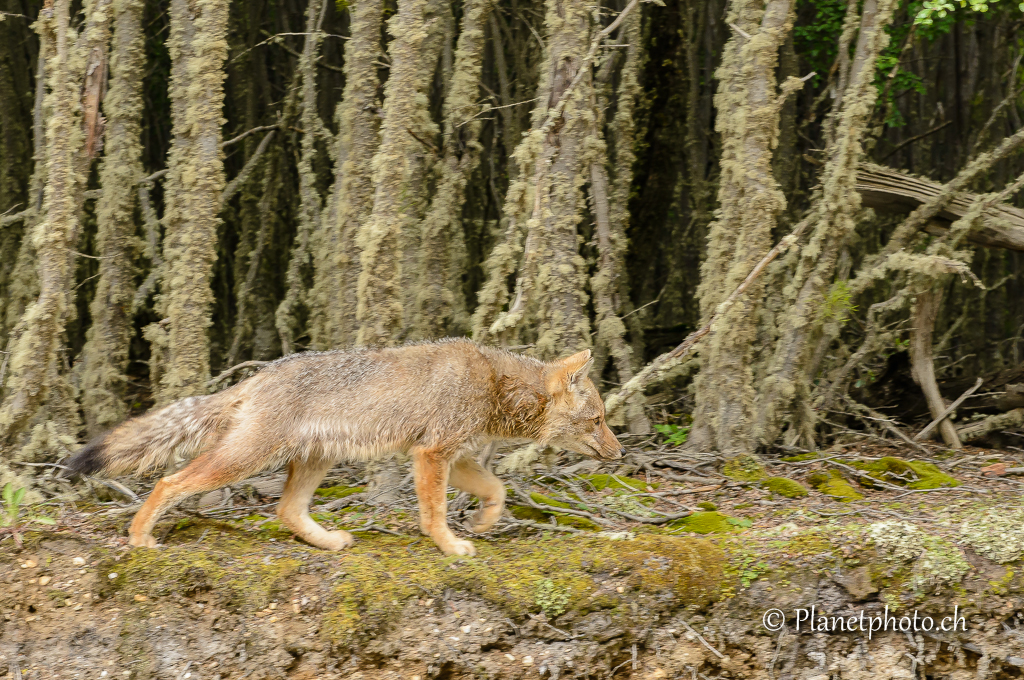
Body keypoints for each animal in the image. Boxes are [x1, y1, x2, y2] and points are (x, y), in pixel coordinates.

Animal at [68, 340, 622, 557]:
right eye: (598, 420)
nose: (618, 455)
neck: (492, 382)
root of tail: (261, 374)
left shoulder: (453, 455)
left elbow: (499, 490)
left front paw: (485, 523)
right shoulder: (432, 455)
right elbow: (434, 515)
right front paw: (450, 546)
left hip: (316, 461)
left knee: (287, 512)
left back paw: (329, 542)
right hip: (244, 460)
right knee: (168, 481)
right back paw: (139, 537)